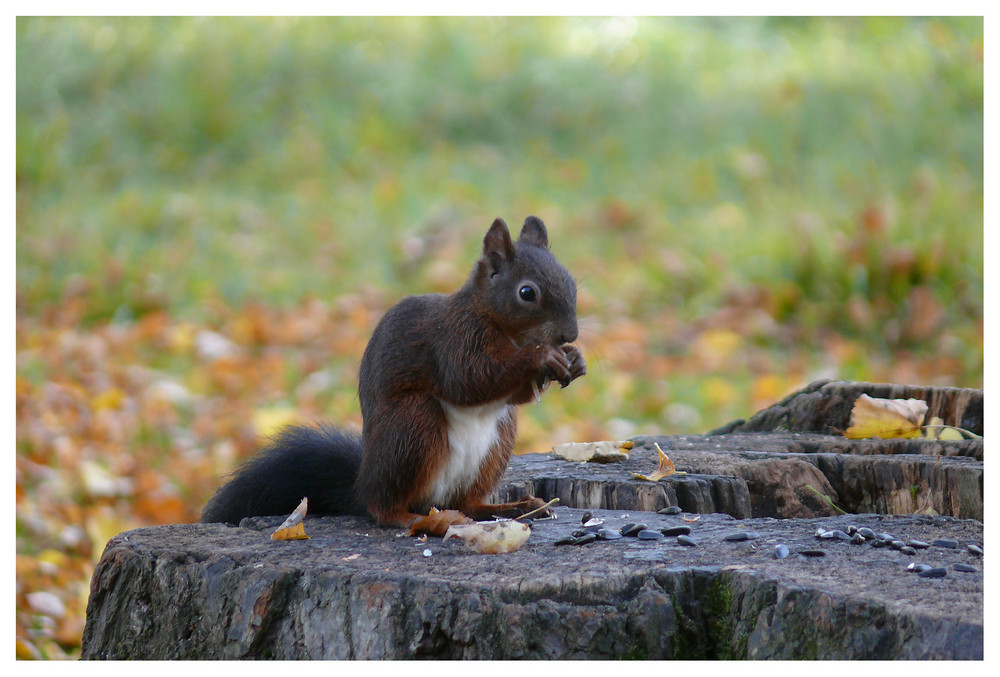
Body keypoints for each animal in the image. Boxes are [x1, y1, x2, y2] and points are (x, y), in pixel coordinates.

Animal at [199, 217, 584, 532]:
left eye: (571, 283)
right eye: (527, 293)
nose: (571, 334)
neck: (502, 327)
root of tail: (361, 484)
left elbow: (513, 394)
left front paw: (575, 361)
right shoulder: (454, 339)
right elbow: (471, 378)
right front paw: (541, 356)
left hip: (496, 444)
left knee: (468, 503)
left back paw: (516, 507)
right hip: (411, 427)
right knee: (384, 507)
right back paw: (416, 519)